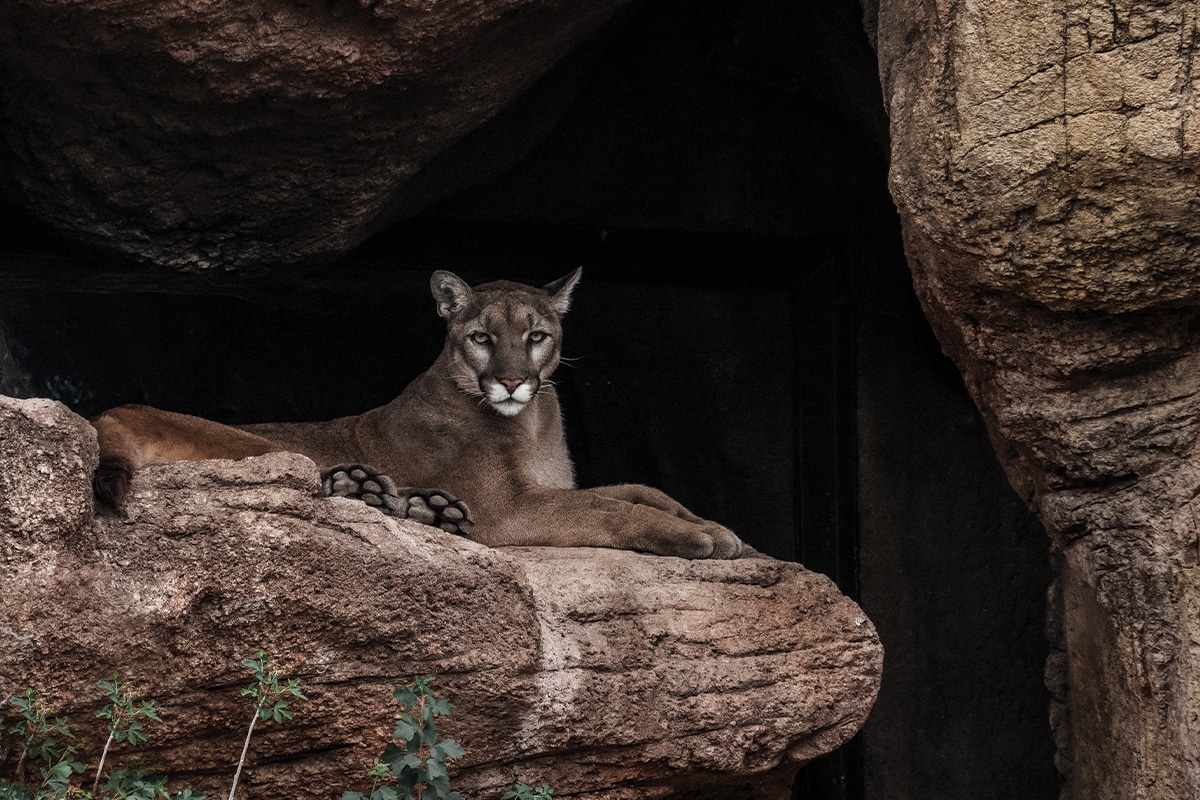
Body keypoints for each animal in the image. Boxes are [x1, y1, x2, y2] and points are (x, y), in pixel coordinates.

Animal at [93, 268, 744, 556]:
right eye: (481, 337)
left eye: (536, 336)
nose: (512, 381)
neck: (531, 424)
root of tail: (116, 407)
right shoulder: (507, 507)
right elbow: (607, 508)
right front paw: (695, 537)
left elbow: (637, 488)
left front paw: (716, 527)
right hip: (258, 443)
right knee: (308, 478)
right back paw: (376, 492)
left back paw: (427, 509)